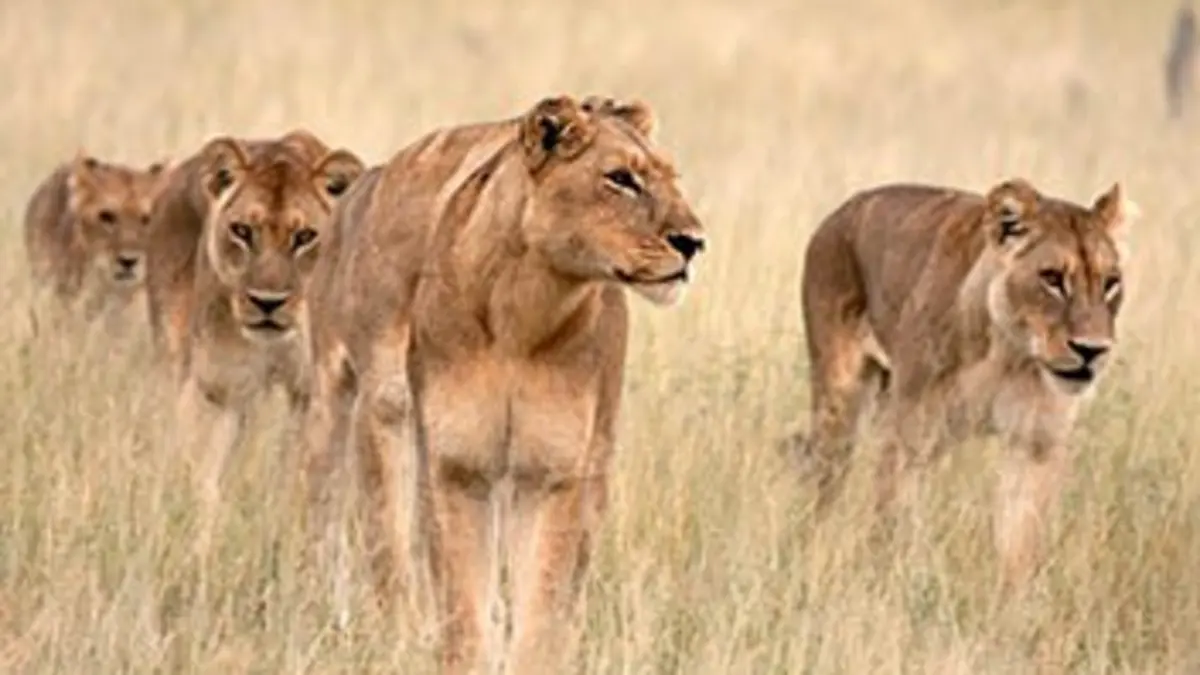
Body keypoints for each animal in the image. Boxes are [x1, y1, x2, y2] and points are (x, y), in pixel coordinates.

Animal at [156, 131, 366, 554]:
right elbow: (204, 478)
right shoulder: (220, 389)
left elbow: (303, 480)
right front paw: (201, 550)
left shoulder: (312, 390)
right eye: (242, 231)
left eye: (304, 237)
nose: (267, 303)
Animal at [301, 94, 706, 673]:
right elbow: (459, 603)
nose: (694, 243)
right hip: (355, 407)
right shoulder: (455, 465)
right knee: (360, 532)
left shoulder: (555, 472)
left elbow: (543, 603)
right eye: (620, 178)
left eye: (672, 178)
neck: (523, 311)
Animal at [780, 177, 1137, 589]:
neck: (1008, 352)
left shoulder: (1035, 442)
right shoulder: (909, 433)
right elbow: (891, 522)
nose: (1092, 350)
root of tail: (841, 211)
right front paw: (889, 584)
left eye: (1111, 283)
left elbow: (1019, 544)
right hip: (840, 402)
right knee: (826, 485)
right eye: (1051, 278)